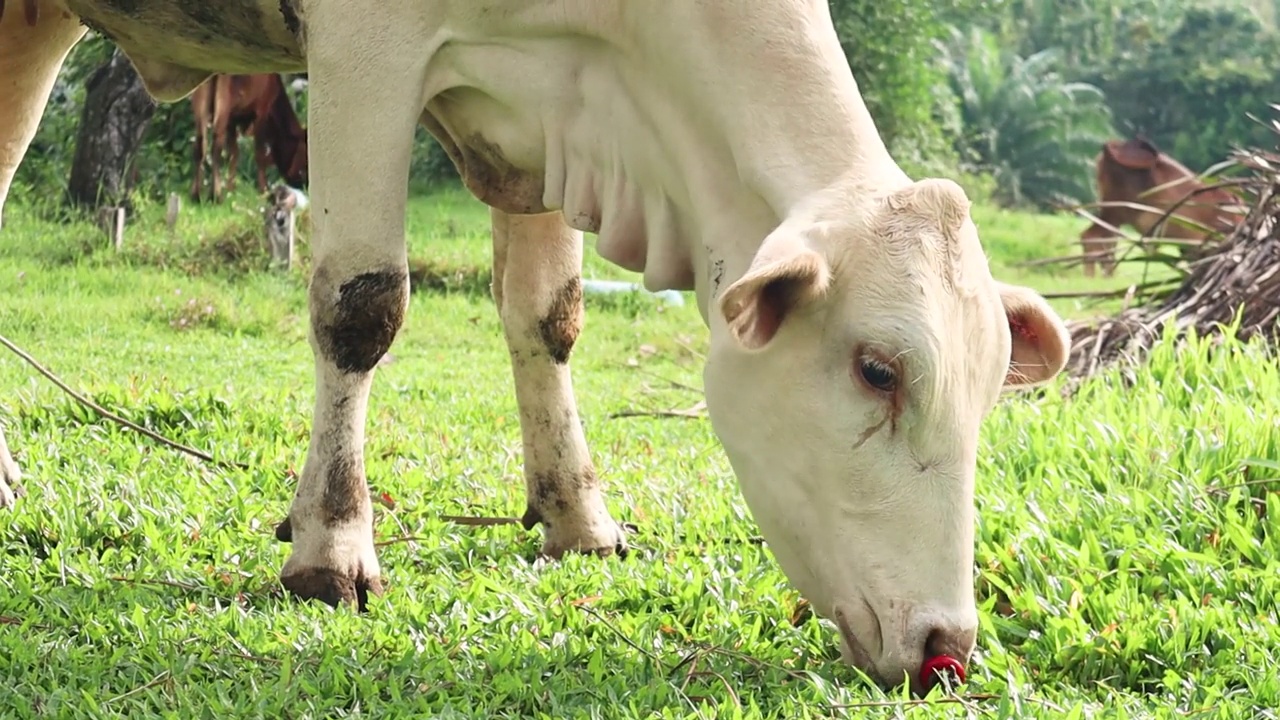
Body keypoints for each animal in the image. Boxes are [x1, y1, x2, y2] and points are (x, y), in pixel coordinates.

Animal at [188, 71, 308, 202]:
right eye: (306, 157)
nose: (306, 185)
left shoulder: (232, 118)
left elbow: (234, 153)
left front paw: (231, 189)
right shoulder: (262, 109)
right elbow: (259, 154)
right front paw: (263, 190)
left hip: (200, 99)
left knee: (200, 143)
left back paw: (196, 195)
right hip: (223, 99)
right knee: (216, 145)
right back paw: (216, 196)